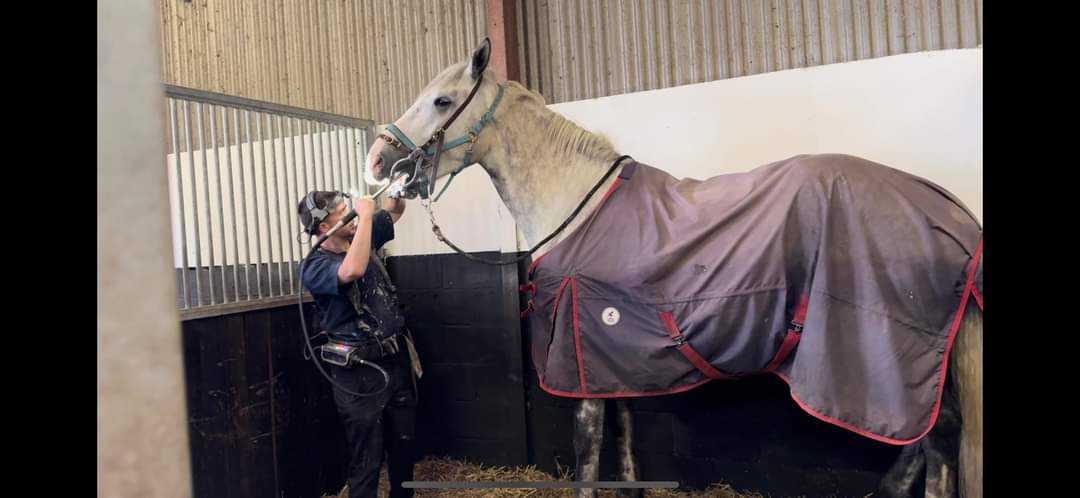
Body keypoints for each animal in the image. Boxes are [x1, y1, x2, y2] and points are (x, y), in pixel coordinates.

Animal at [365, 39, 982, 498]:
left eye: (442, 101)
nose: (377, 161)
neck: (578, 204)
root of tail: (949, 209)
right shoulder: (609, 356)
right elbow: (626, 441)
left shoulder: (580, 359)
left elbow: (590, 451)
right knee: (927, 434)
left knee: (940, 437)